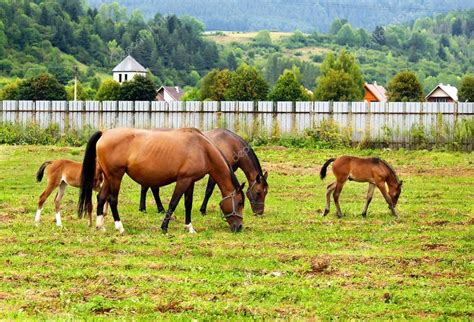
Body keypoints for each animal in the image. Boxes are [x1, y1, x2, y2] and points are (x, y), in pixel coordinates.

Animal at [78, 128, 246, 234]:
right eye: (239, 203)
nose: (239, 227)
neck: (202, 148)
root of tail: (104, 133)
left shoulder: (190, 181)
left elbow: (188, 204)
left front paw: (189, 227)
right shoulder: (183, 180)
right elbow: (173, 203)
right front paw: (164, 227)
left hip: (109, 177)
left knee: (101, 197)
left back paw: (100, 226)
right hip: (115, 176)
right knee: (112, 200)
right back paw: (120, 227)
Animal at [139, 128, 268, 216]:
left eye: (265, 193)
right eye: (258, 192)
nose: (259, 212)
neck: (231, 144)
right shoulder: (215, 173)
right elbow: (209, 191)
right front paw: (203, 210)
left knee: (147, 188)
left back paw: (146, 208)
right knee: (152, 189)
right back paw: (155, 208)